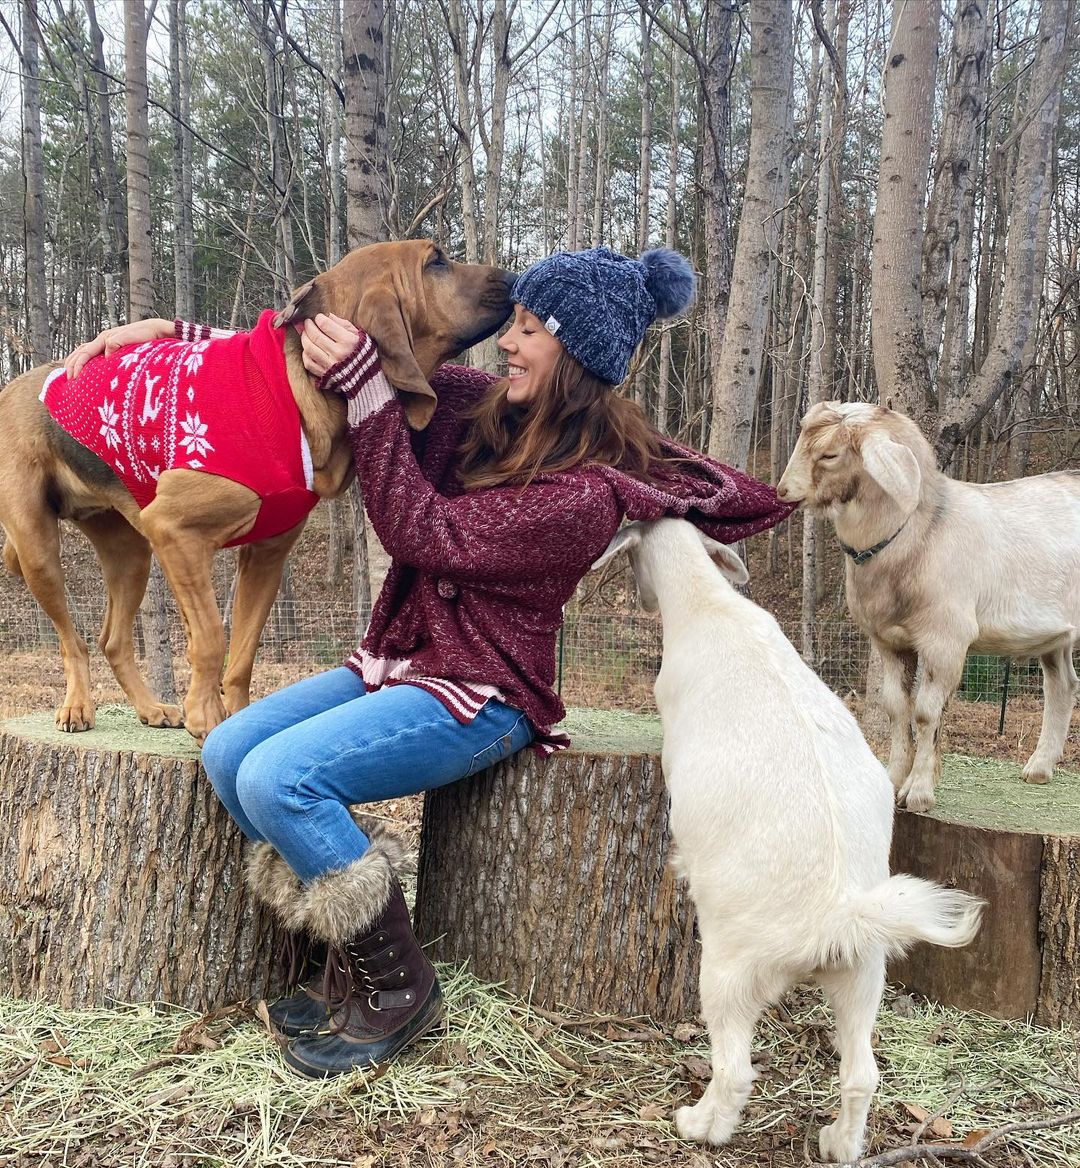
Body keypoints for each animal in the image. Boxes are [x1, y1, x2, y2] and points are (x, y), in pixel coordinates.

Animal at [0, 239, 513, 738]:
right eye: (436, 262)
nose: (512, 278)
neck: (298, 392)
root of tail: (12, 385)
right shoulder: (176, 534)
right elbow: (210, 637)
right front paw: (205, 718)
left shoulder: (266, 555)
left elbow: (243, 651)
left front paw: (234, 718)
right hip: (40, 551)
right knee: (74, 641)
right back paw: (77, 707)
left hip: (130, 553)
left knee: (113, 639)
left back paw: (150, 708)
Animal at [593, 523, 980, 1168]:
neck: (708, 603)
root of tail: (835, 918)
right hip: (863, 976)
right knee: (861, 1074)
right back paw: (839, 1143)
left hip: (729, 971)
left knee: (735, 1070)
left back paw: (699, 1125)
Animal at [775, 401, 1078, 812]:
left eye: (830, 455)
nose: (783, 492)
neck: (920, 532)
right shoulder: (888, 642)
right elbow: (896, 707)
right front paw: (892, 781)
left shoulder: (945, 640)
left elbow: (925, 712)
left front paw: (917, 792)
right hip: (1055, 636)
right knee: (1062, 685)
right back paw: (1038, 769)